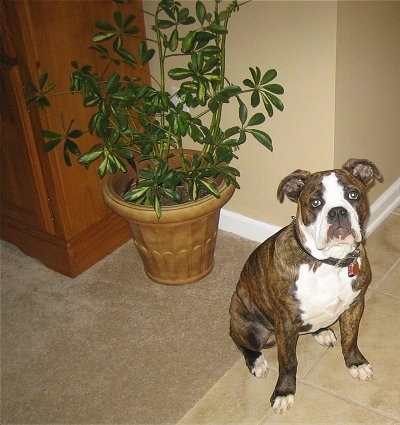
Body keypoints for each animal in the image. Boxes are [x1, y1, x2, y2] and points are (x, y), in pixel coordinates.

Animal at [228, 158, 382, 410]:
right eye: (316, 203)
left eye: (353, 195)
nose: (337, 211)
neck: (330, 263)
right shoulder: (286, 324)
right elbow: (288, 362)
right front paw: (284, 392)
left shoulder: (354, 306)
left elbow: (350, 338)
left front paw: (356, 363)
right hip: (248, 324)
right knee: (241, 341)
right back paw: (257, 362)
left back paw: (322, 332)